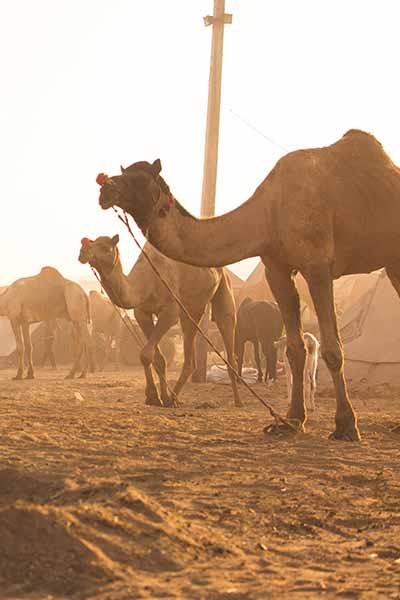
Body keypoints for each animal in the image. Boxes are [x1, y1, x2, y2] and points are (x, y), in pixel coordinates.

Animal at [78, 234, 241, 408]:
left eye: (104, 247)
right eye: (91, 242)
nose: (82, 250)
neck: (146, 282)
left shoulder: (170, 312)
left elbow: (146, 354)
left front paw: (155, 396)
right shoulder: (142, 313)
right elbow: (154, 357)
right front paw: (157, 397)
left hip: (223, 286)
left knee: (226, 324)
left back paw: (237, 401)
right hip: (191, 310)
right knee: (190, 354)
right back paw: (174, 398)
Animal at [95, 131, 400, 440]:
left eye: (139, 179)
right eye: (123, 172)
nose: (105, 189)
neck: (269, 213)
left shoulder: (317, 266)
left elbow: (332, 350)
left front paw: (346, 425)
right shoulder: (276, 268)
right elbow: (294, 347)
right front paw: (291, 420)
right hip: (392, 262)